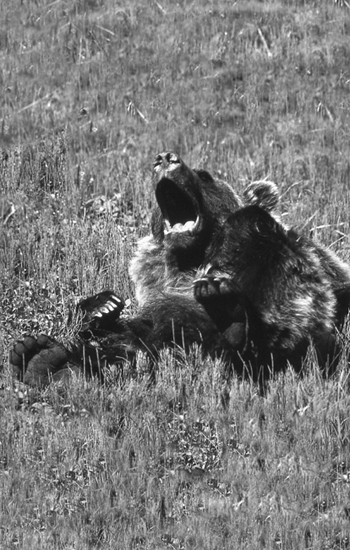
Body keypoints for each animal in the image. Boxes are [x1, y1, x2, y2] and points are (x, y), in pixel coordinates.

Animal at [9, 152, 280, 388]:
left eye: (205, 176)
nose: (166, 158)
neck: (189, 263)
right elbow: (131, 327)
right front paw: (102, 305)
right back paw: (41, 359)